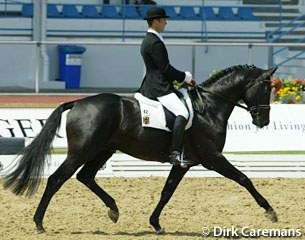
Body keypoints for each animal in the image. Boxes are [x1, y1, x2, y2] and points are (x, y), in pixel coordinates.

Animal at [3, 63, 276, 234]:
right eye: (266, 87)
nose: (263, 121)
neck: (208, 107)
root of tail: (78, 102)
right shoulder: (212, 158)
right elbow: (243, 178)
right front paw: (270, 211)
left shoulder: (184, 163)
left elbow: (167, 192)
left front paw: (155, 223)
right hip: (83, 150)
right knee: (56, 179)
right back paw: (39, 223)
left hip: (104, 149)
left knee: (85, 176)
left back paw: (113, 210)